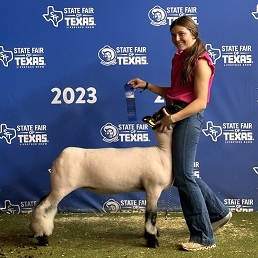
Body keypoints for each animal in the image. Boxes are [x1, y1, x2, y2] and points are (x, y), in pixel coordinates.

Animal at [29, 123, 173, 248]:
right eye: (174, 109)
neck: (162, 153)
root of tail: (60, 157)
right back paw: (42, 237)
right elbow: (151, 216)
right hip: (61, 187)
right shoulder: (153, 188)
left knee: (41, 201)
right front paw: (152, 240)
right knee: (44, 208)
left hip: (56, 186)